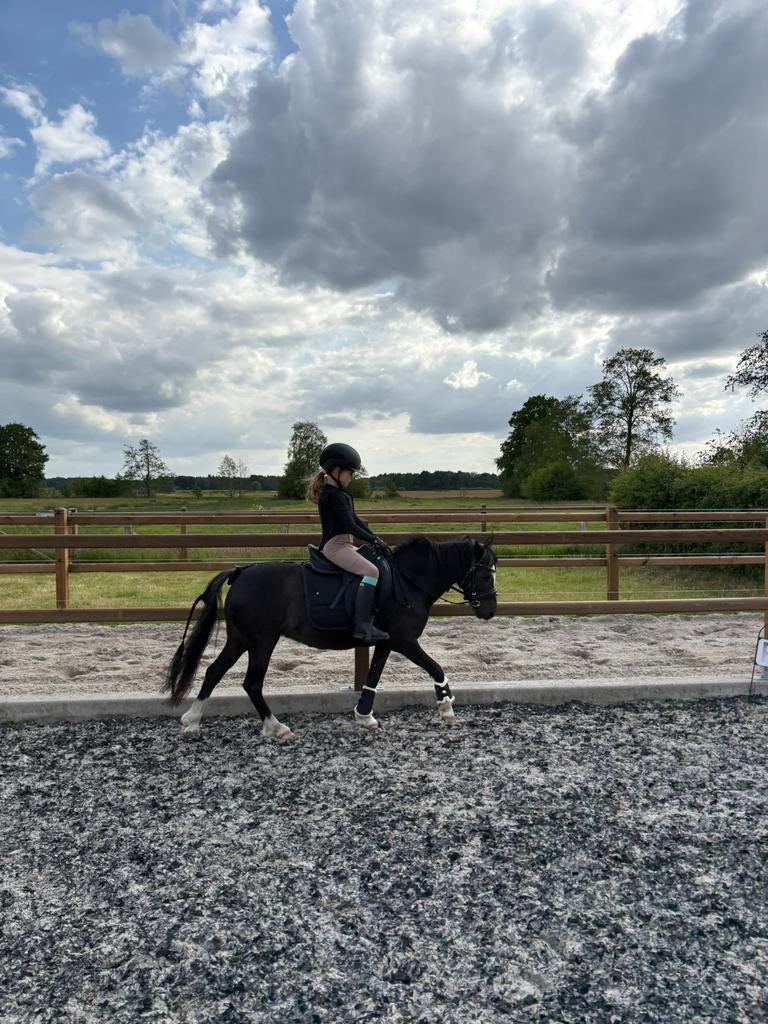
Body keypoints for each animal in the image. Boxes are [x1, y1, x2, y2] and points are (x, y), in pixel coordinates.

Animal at [163, 535, 498, 738]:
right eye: (484, 574)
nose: (490, 610)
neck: (409, 581)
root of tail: (241, 572)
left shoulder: (387, 642)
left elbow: (373, 677)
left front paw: (364, 716)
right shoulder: (405, 641)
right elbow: (436, 667)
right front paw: (447, 707)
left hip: (240, 640)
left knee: (213, 671)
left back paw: (192, 720)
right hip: (261, 642)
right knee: (252, 683)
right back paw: (277, 727)